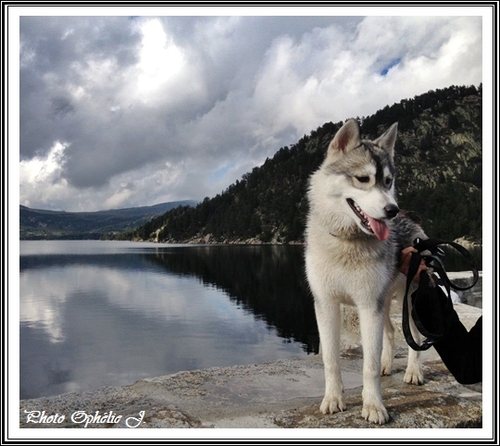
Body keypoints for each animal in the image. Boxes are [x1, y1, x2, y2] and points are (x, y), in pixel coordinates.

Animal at [304, 119, 426, 426]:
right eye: (362, 179)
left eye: (388, 182)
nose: (391, 210)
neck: (347, 242)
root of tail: (411, 217)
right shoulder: (327, 304)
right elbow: (331, 360)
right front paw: (333, 399)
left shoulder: (369, 305)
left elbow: (367, 365)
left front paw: (373, 405)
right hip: (384, 303)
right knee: (391, 331)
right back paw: (387, 364)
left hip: (409, 300)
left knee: (415, 337)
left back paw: (413, 371)